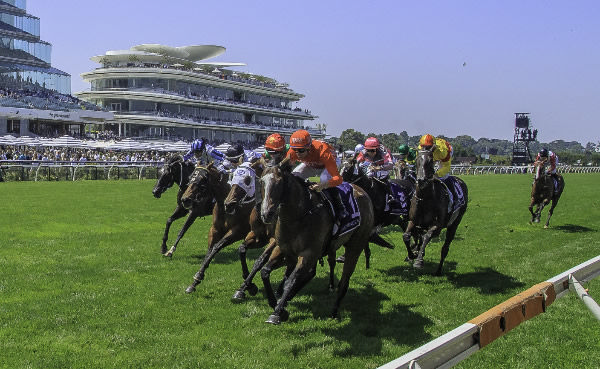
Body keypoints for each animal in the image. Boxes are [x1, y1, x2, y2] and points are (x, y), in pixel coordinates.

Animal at [258, 157, 372, 324]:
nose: (266, 214)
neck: (297, 216)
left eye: (279, 182)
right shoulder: (283, 249)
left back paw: (334, 310)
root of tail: (363, 192)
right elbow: (265, 272)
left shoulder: (308, 253)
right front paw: (276, 303)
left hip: (355, 246)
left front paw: (277, 312)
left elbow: (290, 281)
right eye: (261, 182)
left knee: (344, 281)